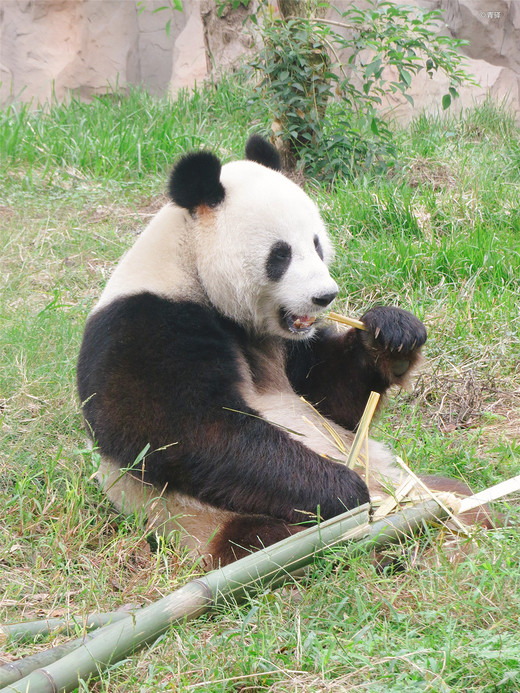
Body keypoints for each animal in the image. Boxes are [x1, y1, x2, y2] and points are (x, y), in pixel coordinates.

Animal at [76, 137, 430, 568]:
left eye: (316, 244)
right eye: (281, 254)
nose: (325, 296)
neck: (189, 265)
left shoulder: (285, 345)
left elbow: (333, 401)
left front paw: (393, 334)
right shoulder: (142, 325)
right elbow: (185, 432)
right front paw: (342, 489)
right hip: (205, 521)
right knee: (263, 539)